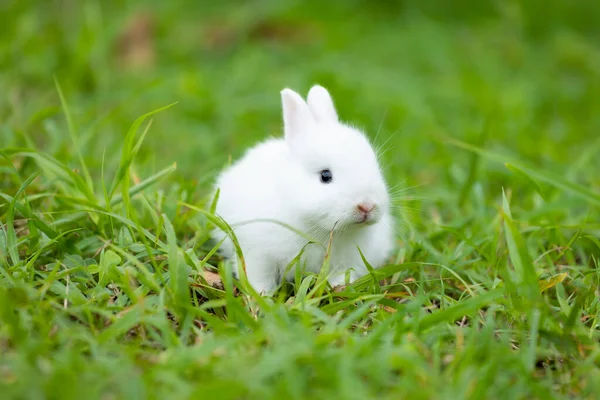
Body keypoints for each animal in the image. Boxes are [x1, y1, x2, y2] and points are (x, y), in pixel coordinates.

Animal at [211, 85, 394, 294]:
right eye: (325, 176)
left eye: (375, 167)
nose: (366, 206)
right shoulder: (257, 253)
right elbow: (259, 276)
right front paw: (262, 295)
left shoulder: (346, 262)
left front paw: (340, 289)